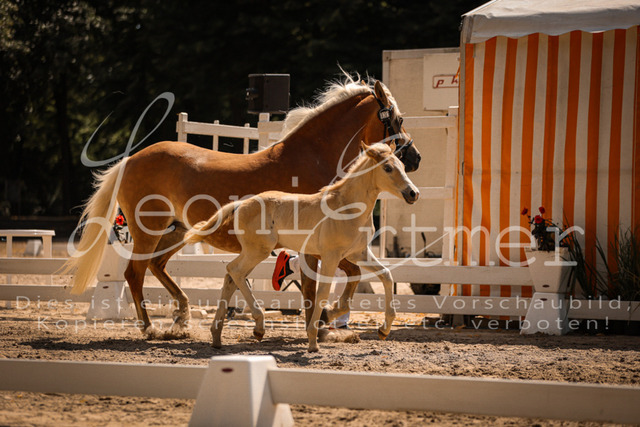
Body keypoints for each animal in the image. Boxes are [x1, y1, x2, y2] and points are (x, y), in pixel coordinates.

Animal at [185, 142, 419, 352]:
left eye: (401, 164)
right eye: (387, 168)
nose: (413, 193)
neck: (347, 208)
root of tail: (241, 203)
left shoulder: (357, 254)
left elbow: (386, 275)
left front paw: (384, 330)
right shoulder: (331, 256)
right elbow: (322, 292)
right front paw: (313, 341)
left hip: (253, 252)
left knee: (231, 276)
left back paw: (218, 336)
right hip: (257, 251)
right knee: (235, 271)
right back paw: (258, 326)